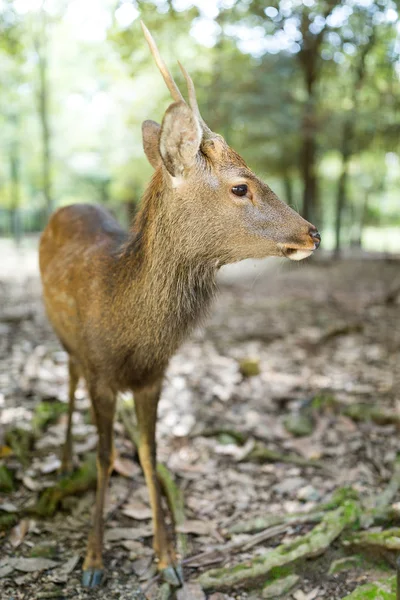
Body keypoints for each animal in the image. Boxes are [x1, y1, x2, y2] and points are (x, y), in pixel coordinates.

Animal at [39, 23, 320, 592]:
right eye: (240, 186)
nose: (313, 232)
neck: (131, 333)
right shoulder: (102, 371)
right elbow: (104, 455)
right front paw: (93, 561)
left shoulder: (155, 376)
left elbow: (150, 455)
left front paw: (167, 557)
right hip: (66, 341)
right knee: (69, 379)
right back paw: (63, 458)